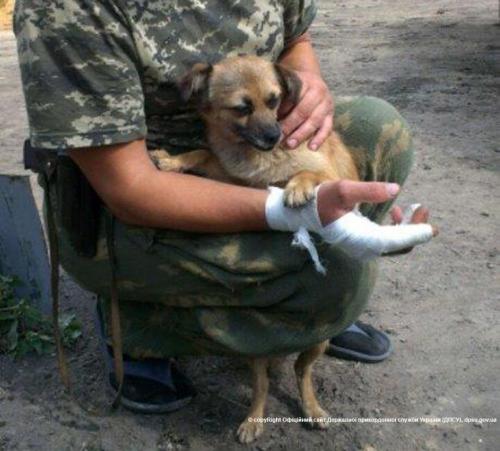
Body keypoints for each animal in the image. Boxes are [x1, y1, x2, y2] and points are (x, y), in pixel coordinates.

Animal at [148, 53, 360, 444]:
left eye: (275, 101)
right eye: (241, 108)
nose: (275, 135)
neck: (256, 158)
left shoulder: (326, 174)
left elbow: (309, 174)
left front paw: (297, 187)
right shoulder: (233, 182)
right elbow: (202, 152)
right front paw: (173, 160)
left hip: (318, 344)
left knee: (302, 372)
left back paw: (312, 408)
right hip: (257, 355)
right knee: (261, 385)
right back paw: (253, 420)